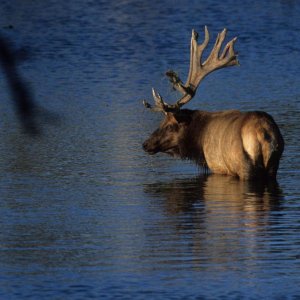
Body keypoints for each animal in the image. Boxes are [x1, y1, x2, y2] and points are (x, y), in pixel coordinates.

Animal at [142, 26, 284, 180]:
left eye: (169, 126)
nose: (145, 144)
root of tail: (262, 133)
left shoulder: (216, 166)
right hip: (273, 165)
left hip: (244, 166)